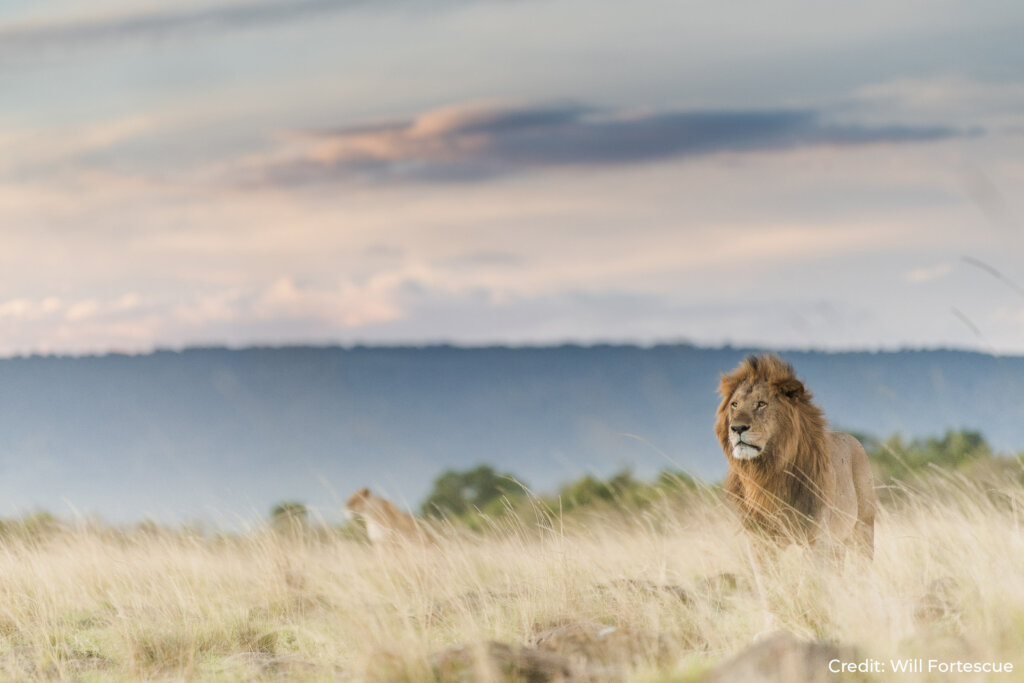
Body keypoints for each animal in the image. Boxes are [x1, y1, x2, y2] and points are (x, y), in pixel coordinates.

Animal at [715, 354, 875, 560]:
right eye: (734, 404)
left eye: (761, 404)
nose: (737, 428)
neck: (766, 472)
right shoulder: (760, 540)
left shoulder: (816, 538)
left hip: (863, 530)